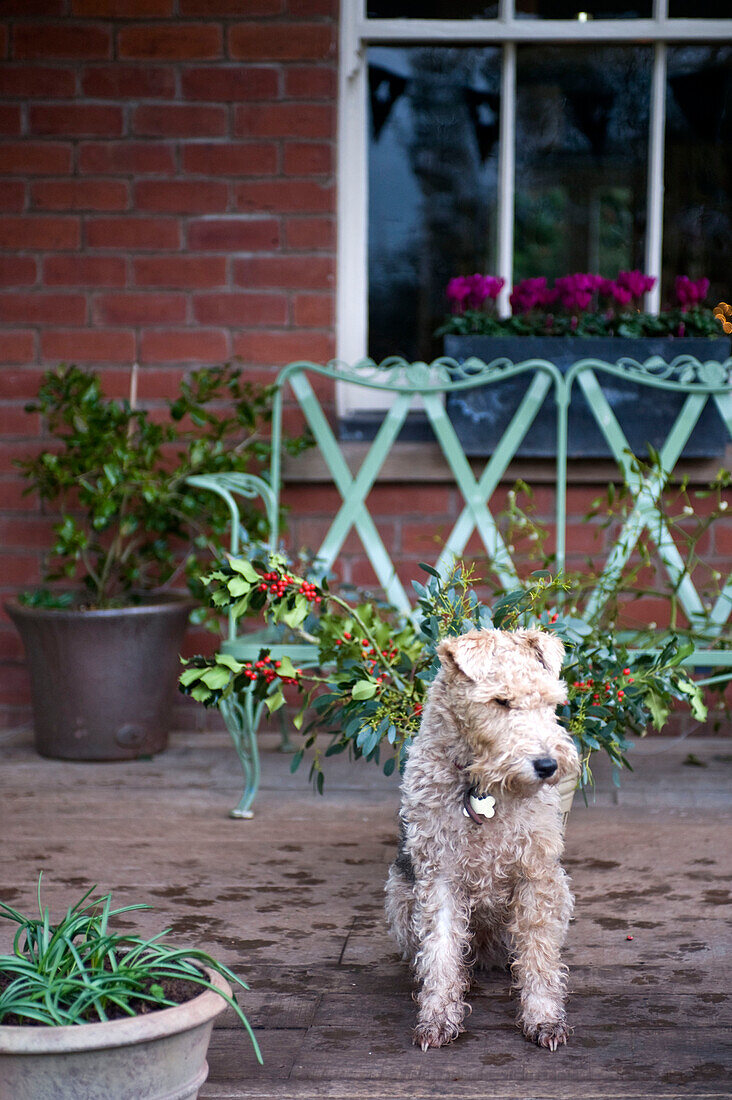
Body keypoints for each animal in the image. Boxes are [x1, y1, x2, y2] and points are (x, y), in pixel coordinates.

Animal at [385, 629, 581, 1047]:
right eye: (500, 701)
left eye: (550, 702)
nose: (547, 765)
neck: (483, 784)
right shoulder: (439, 875)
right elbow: (441, 950)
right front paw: (438, 1017)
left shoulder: (536, 873)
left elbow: (539, 953)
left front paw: (544, 1019)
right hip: (401, 897)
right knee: (451, 955)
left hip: (560, 890)